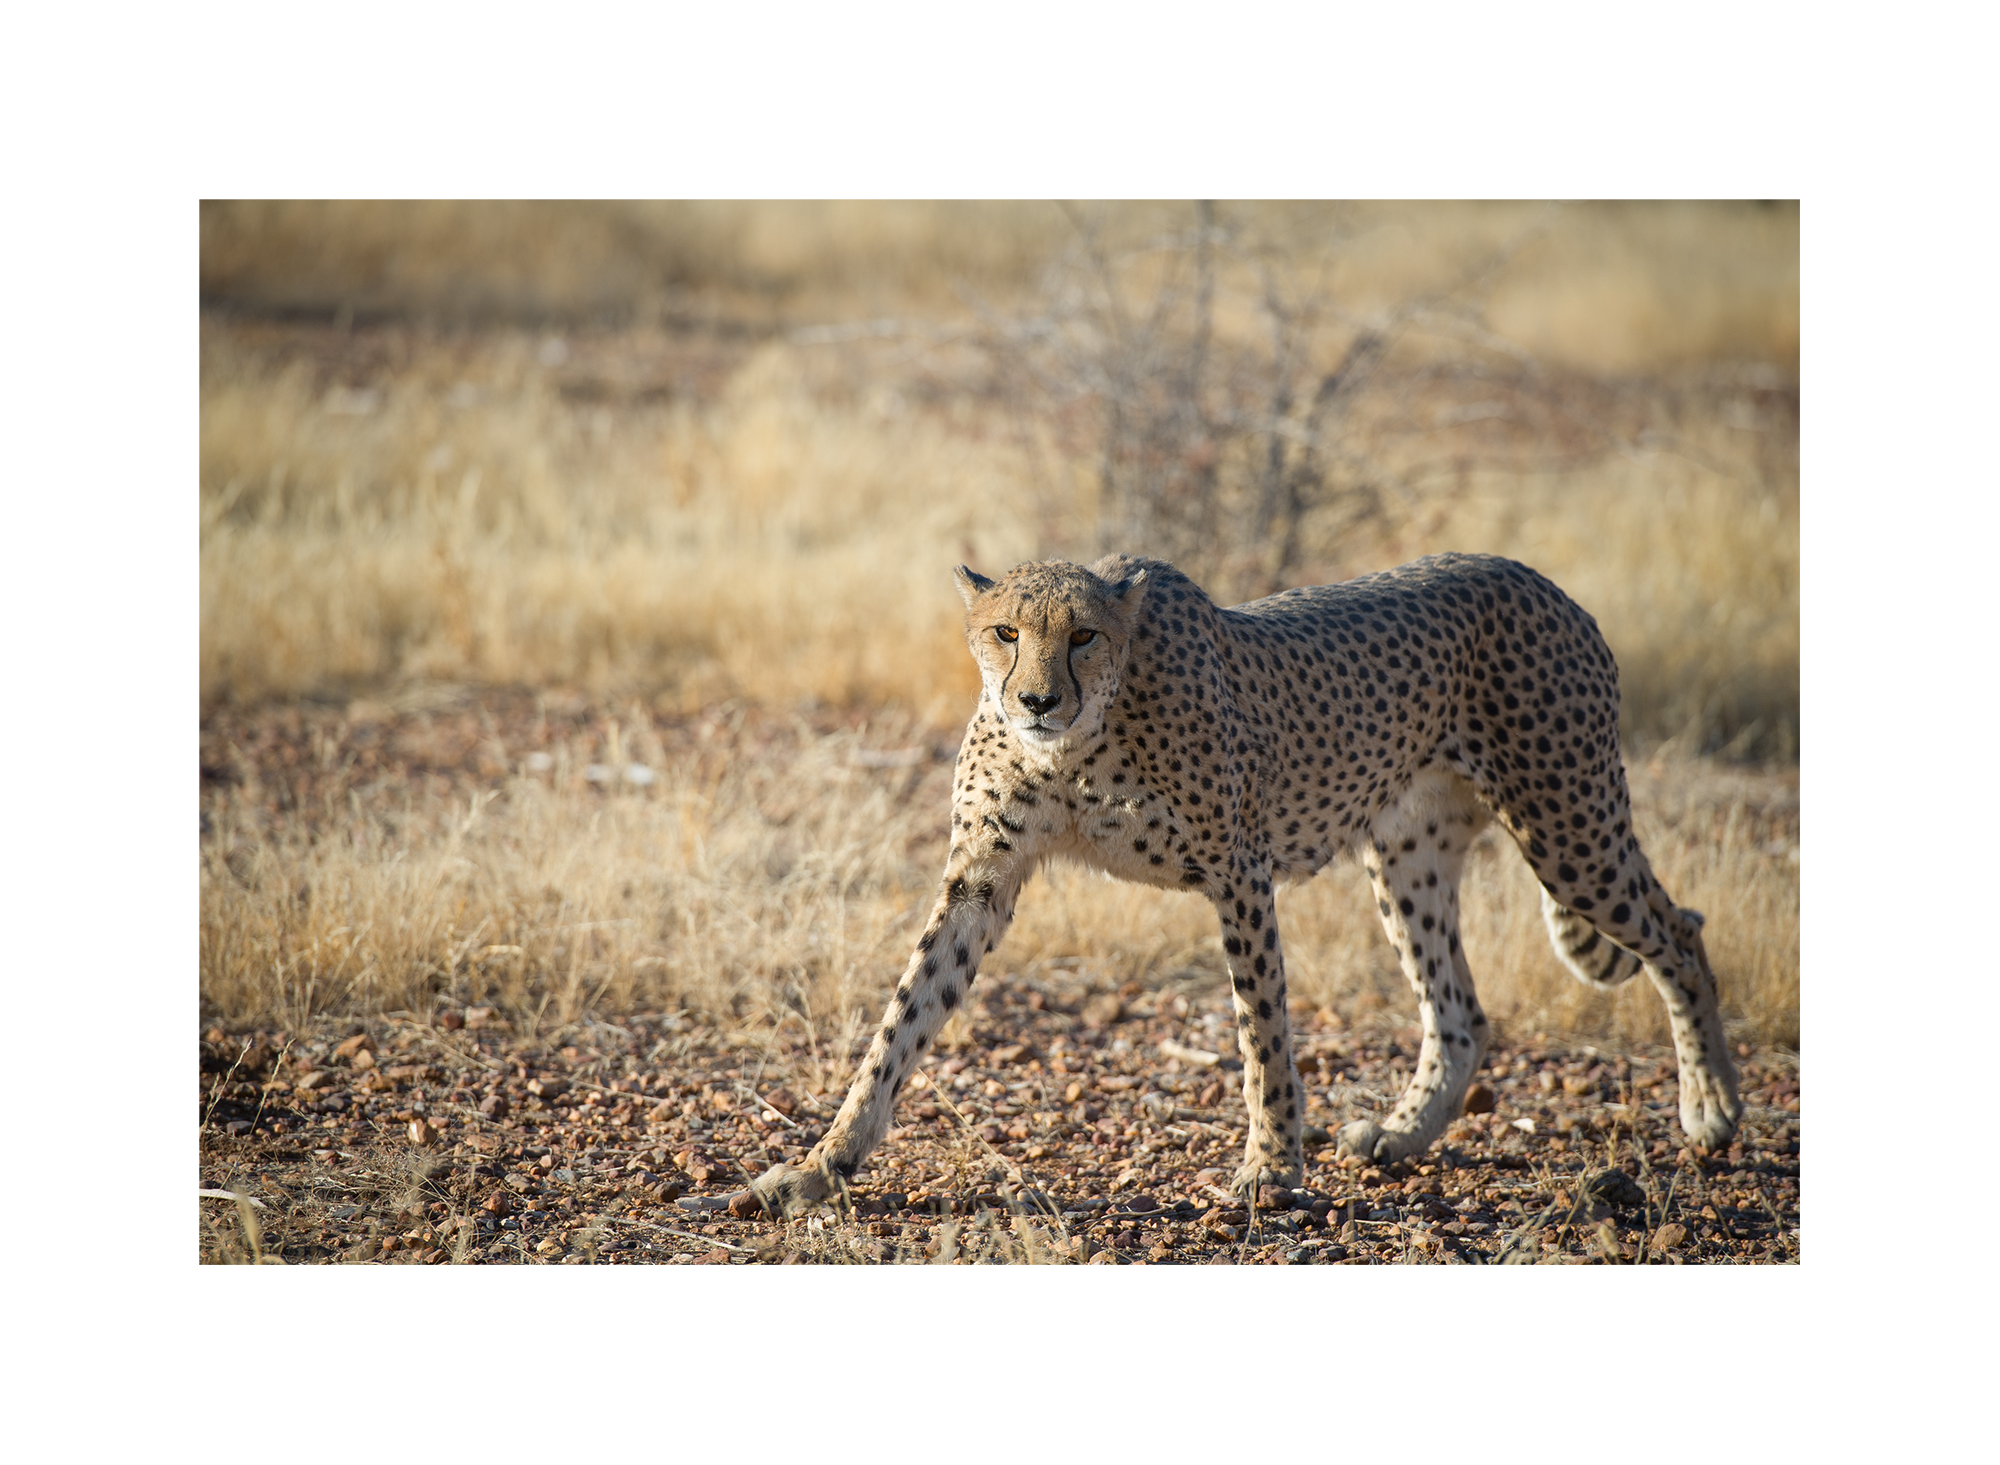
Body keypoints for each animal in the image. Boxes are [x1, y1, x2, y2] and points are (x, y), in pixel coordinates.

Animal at [742, 551, 1741, 1217]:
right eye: (1005, 632)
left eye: (1083, 635)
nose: (1035, 699)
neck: (1078, 744)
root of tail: (1539, 579)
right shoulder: (979, 881)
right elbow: (901, 1021)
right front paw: (823, 1162)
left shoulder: (1238, 871)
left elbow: (1262, 1030)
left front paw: (1271, 1168)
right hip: (1408, 851)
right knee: (1460, 1008)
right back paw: (1402, 1132)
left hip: (1566, 823)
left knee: (1681, 930)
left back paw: (1712, 1108)